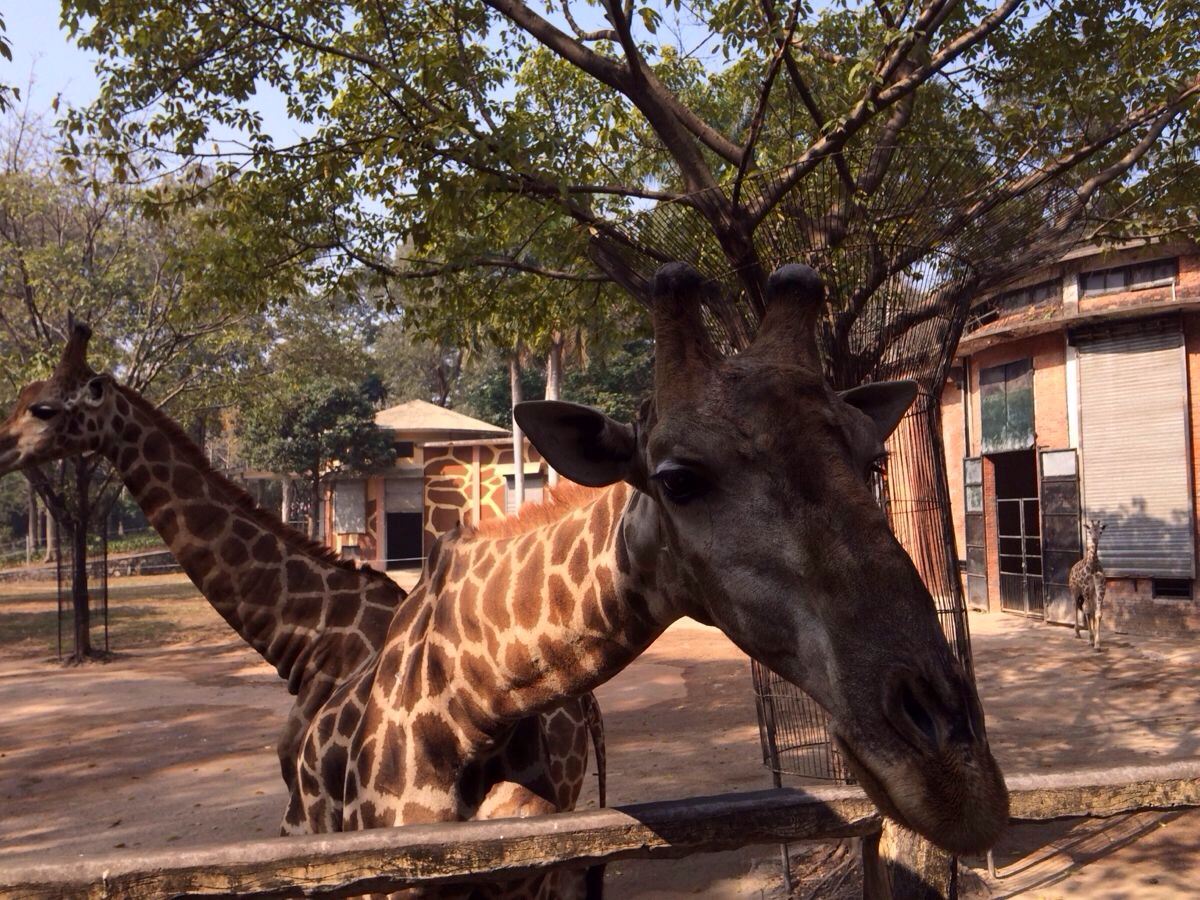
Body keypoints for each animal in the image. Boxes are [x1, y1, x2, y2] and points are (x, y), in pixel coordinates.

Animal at [0, 319, 600, 868]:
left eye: (43, 409)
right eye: (23, 398)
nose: (1, 447)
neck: (307, 634)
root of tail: (583, 712)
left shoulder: (306, 809)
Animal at [1070, 518, 1104, 652]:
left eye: (1100, 531)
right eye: (1089, 531)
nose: (1094, 539)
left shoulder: (1099, 590)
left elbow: (1097, 613)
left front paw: (1097, 643)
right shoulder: (1085, 589)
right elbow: (1088, 612)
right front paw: (1091, 640)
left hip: (1090, 593)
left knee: (1088, 608)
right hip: (1075, 590)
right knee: (1076, 606)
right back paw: (1077, 633)